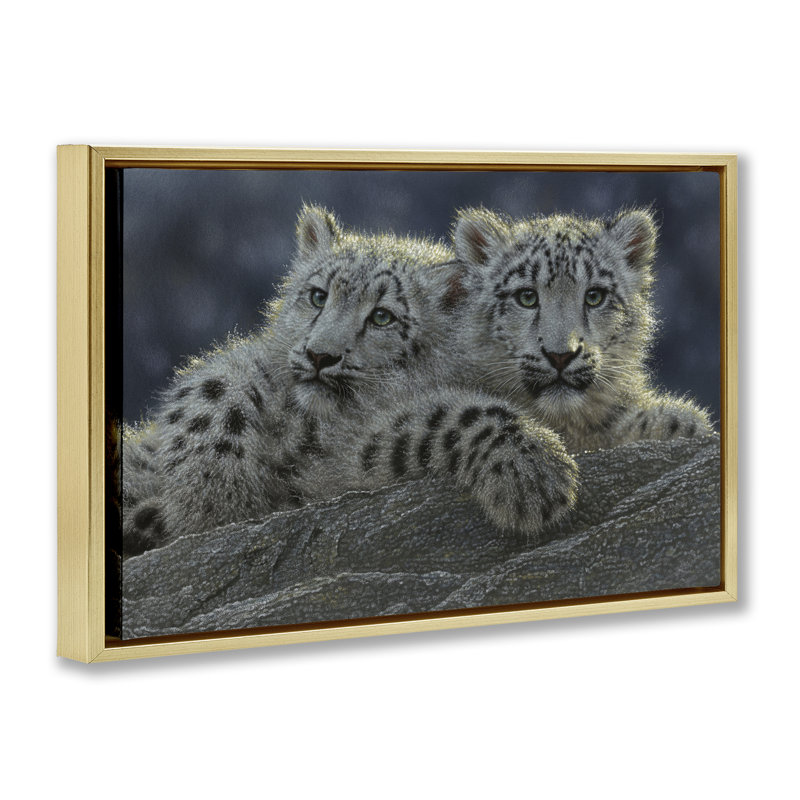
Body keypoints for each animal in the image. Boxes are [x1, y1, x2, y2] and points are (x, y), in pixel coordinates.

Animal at [122, 205, 579, 556]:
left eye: (382, 316)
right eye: (318, 295)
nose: (320, 355)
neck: (309, 426)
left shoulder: (350, 457)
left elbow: (449, 414)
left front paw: (536, 471)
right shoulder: (249, 367)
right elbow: (213, 389)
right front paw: (213, 496)